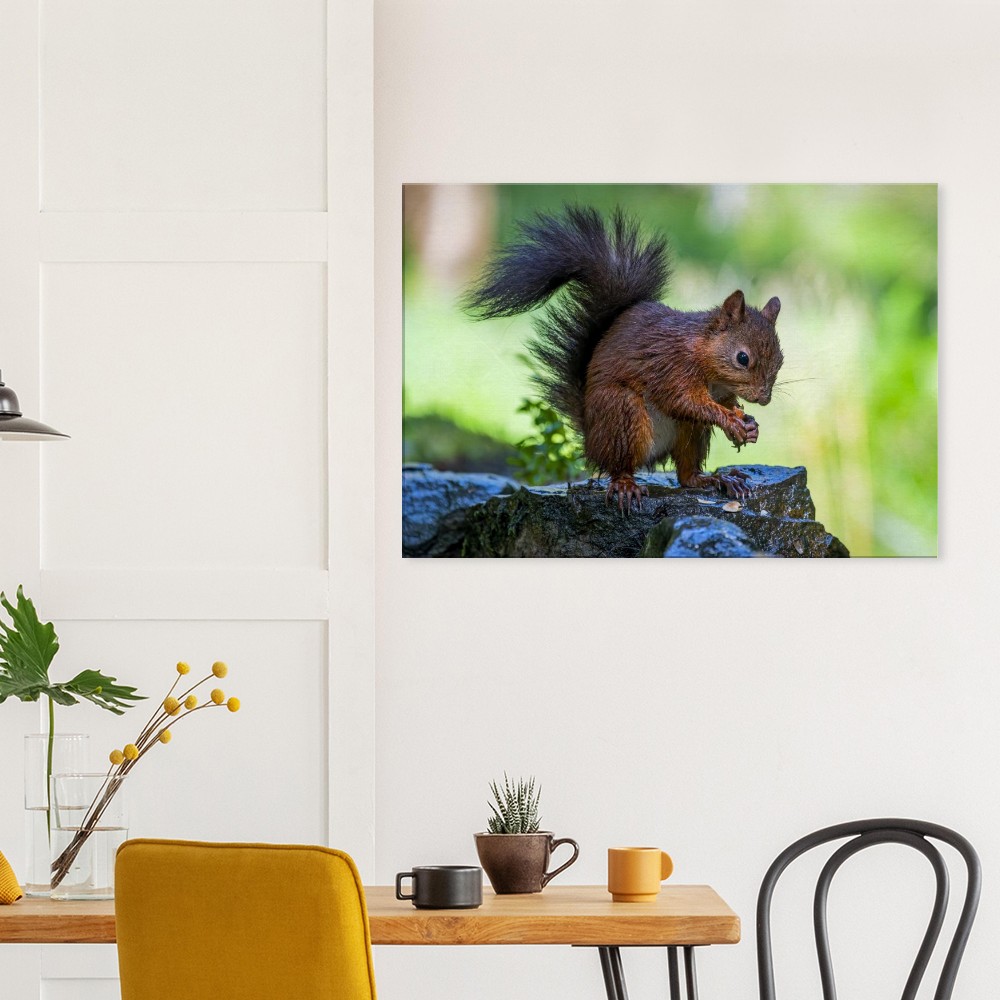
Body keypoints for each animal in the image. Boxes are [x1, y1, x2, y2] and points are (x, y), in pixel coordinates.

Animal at [464, 206, 785, 510]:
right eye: (742, 358)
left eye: (781, 359)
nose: (764, 398)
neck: (705, 359)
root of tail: (591, 439)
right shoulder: (671, 367)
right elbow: (684, 401)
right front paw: (731, 421)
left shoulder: (719, 390)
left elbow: (722, 404)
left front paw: (748, 424)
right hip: (621, 414)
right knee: (619, 465)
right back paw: (626, 484)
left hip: (689, 432)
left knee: (686, 475)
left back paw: (716, 479)